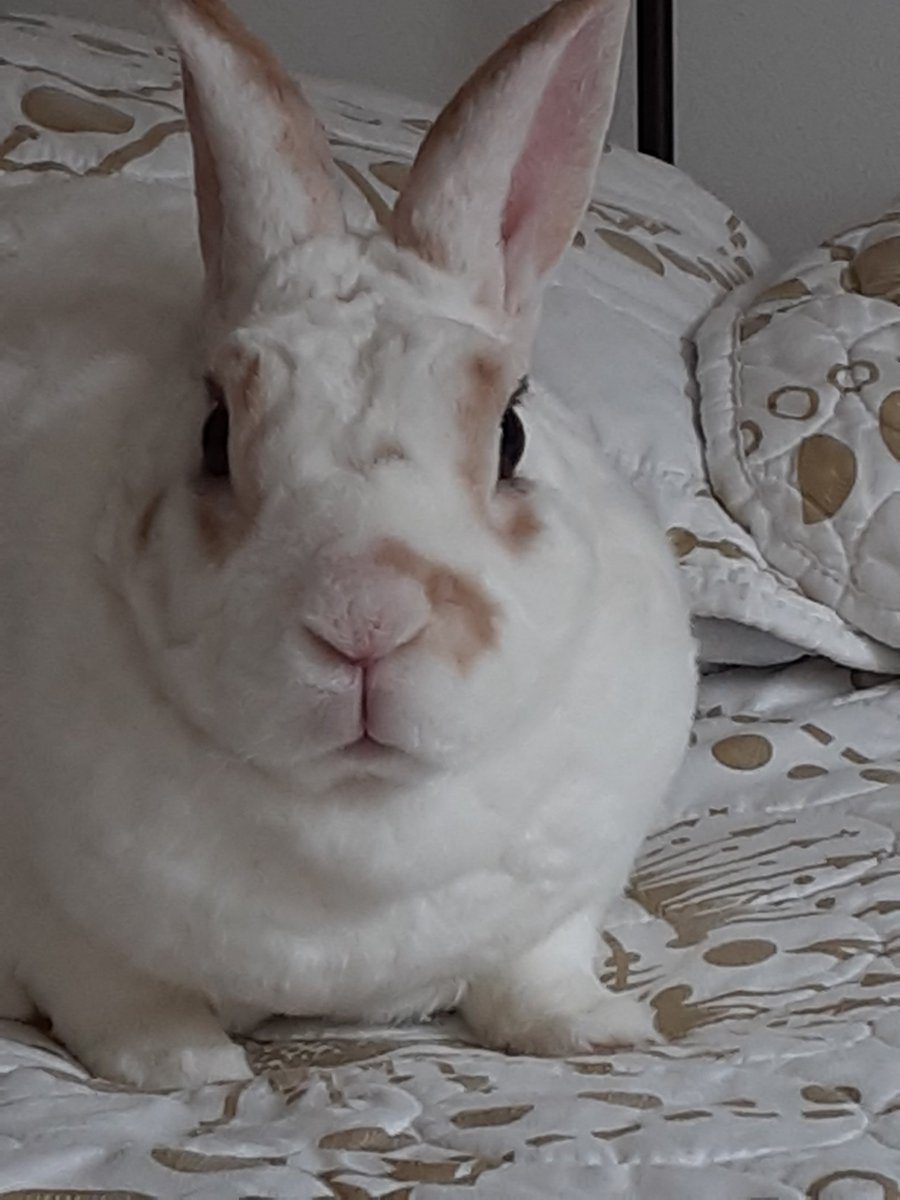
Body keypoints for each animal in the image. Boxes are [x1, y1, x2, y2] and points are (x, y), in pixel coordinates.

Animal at [0, 0, 696, 1090]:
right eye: (214, 434)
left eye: (511, 434)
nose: (366, 617)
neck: (364, 823)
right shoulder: (55, 922)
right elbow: (120, 997)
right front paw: (186, 1067)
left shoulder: (573, 887)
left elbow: (538, 967)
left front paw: (594, 1029)